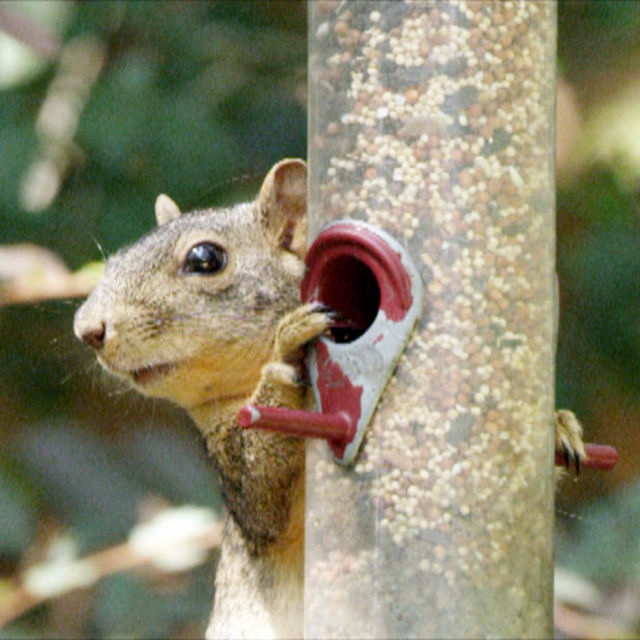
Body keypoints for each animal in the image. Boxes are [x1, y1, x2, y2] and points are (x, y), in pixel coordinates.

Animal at [74, 158, 584, 636]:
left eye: (205, 258)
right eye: (111, 264)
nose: (87, 328)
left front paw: (558, 428)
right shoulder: (237, 477)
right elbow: (263, 495)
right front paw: (286, 352)